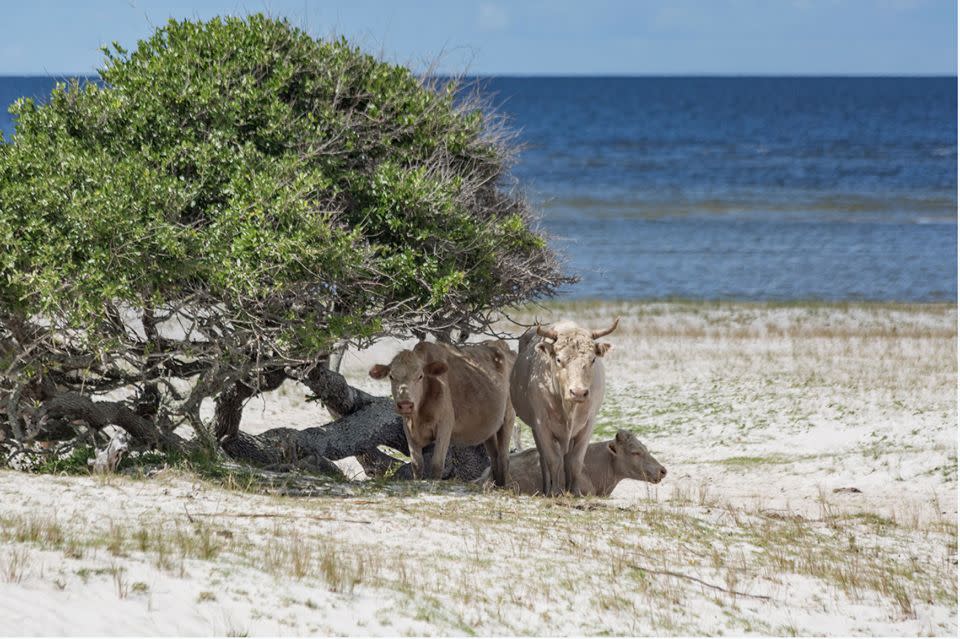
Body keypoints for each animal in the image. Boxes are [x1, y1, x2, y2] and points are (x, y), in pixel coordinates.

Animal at [370, 340, 516, 484]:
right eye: (391, 376)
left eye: (420, 376)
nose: (405, 405)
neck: (419, 417)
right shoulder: (408, 428)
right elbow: (417, 465)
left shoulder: (445, 425)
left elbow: (437, 463)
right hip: (490, 429)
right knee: (495, 457)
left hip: (508, 418)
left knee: (504, 457)